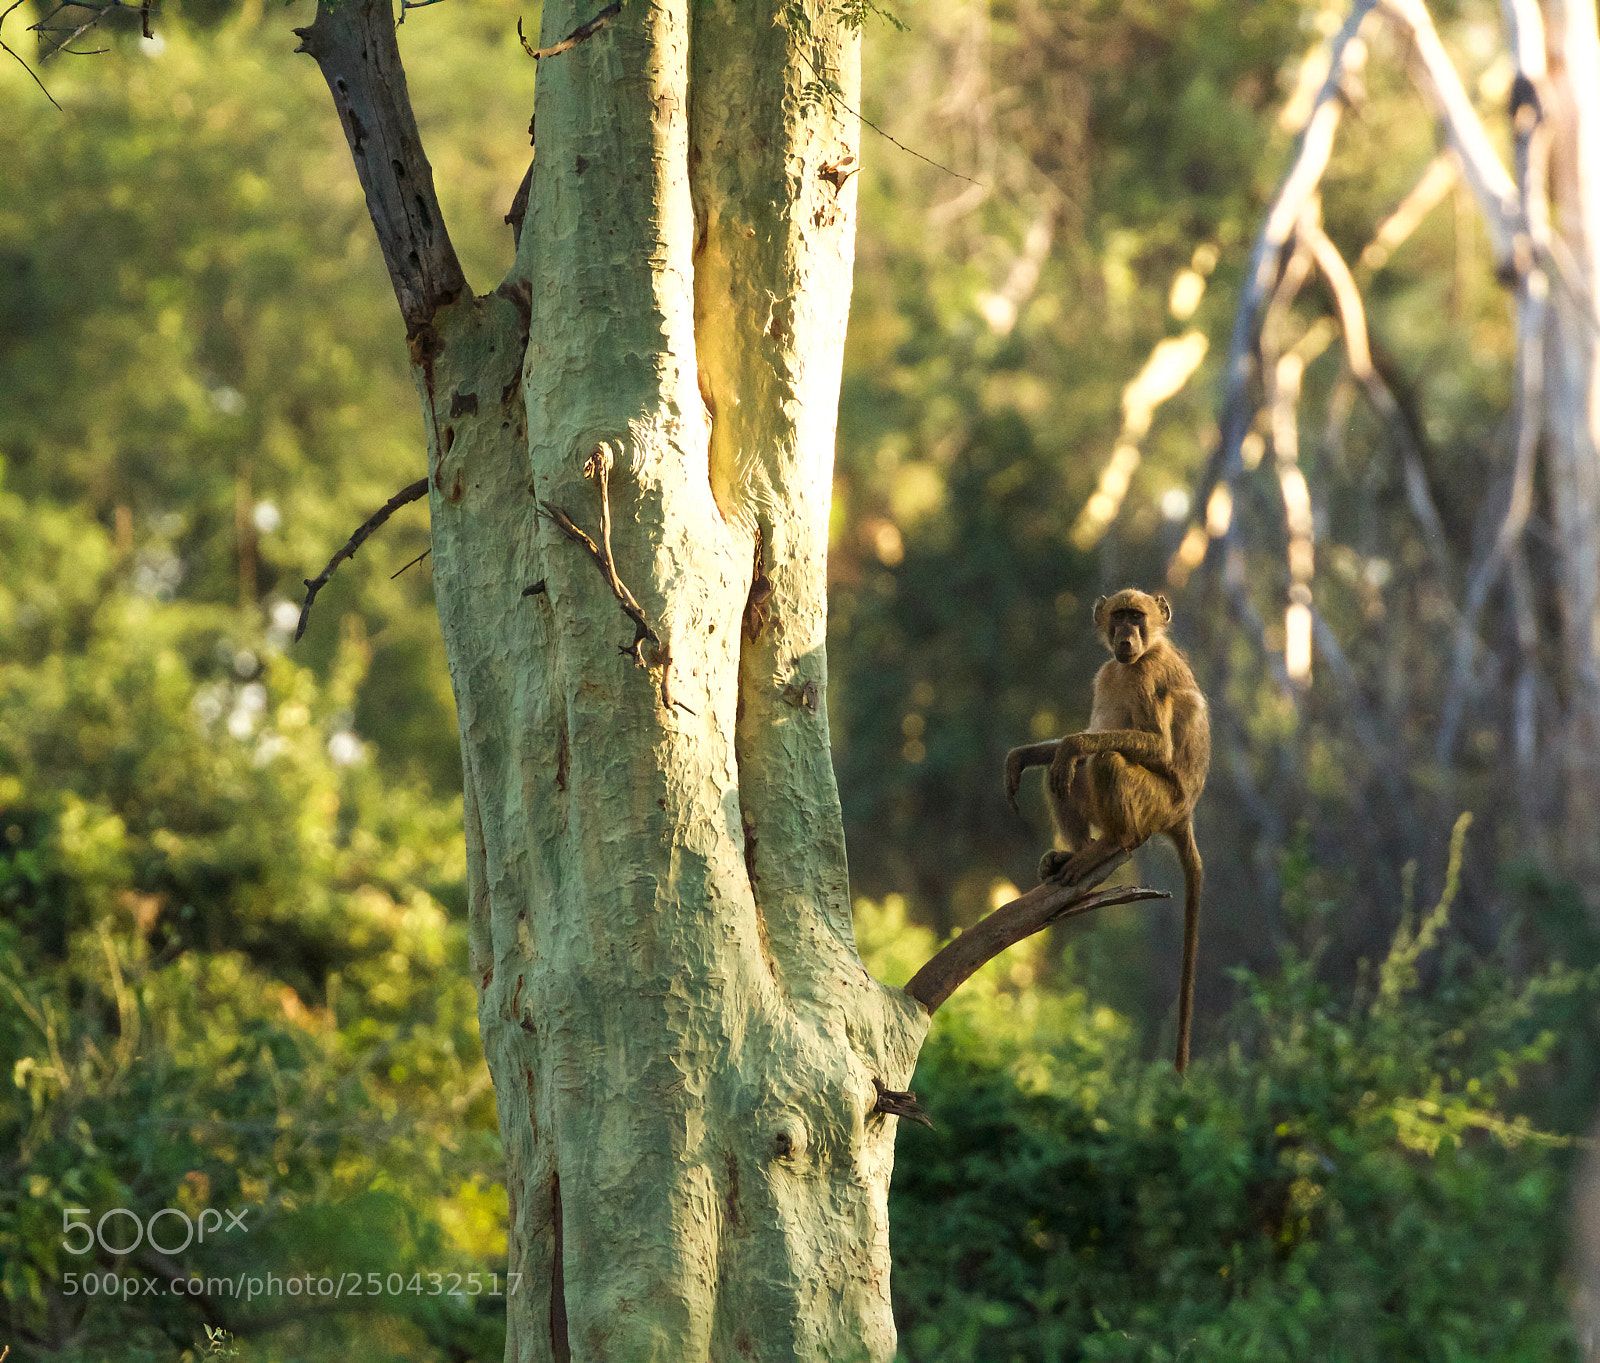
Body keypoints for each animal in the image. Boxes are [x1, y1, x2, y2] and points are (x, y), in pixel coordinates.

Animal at [1004, 588, 1210, 1073]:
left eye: (1137, 617)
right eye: (1118, 617)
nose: (1126, 638)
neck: (1137, 659)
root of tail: (1183, 815)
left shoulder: (1148, 675)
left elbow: (1154, 746)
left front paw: (1072, 744)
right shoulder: (1110, 671)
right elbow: (1077, 744)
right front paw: (1023, 757)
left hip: (1155, 805)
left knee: (1105, 761)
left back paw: (1110, 844)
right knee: (1066, 775)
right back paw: (1076, 852)